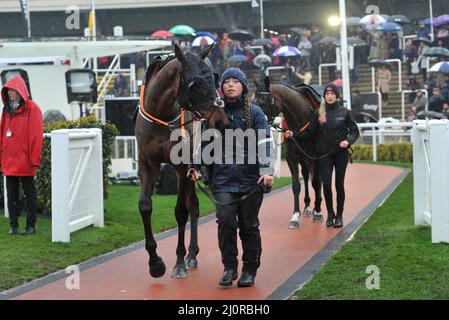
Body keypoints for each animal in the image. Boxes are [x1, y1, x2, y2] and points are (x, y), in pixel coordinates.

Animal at [135, 43, 228, 278]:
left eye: (214, 78)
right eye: (194, 85)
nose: (220, 121)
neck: (162, 115)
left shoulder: (182, 165)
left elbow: (181, 212)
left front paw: (178, 262)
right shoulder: (147, 163)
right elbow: (145, 206)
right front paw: (155, 262)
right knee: (194, 204)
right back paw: (192, 254)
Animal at [252, 77, 322, 228]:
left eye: (263, 102)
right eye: (252, 102)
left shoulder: (315, 155)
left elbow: (316, 182)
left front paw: (318, 211)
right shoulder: (292, 156)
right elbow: (296, 185)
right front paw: (295, 216)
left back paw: (316, 207)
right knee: (306, 175)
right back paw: (307, 206)